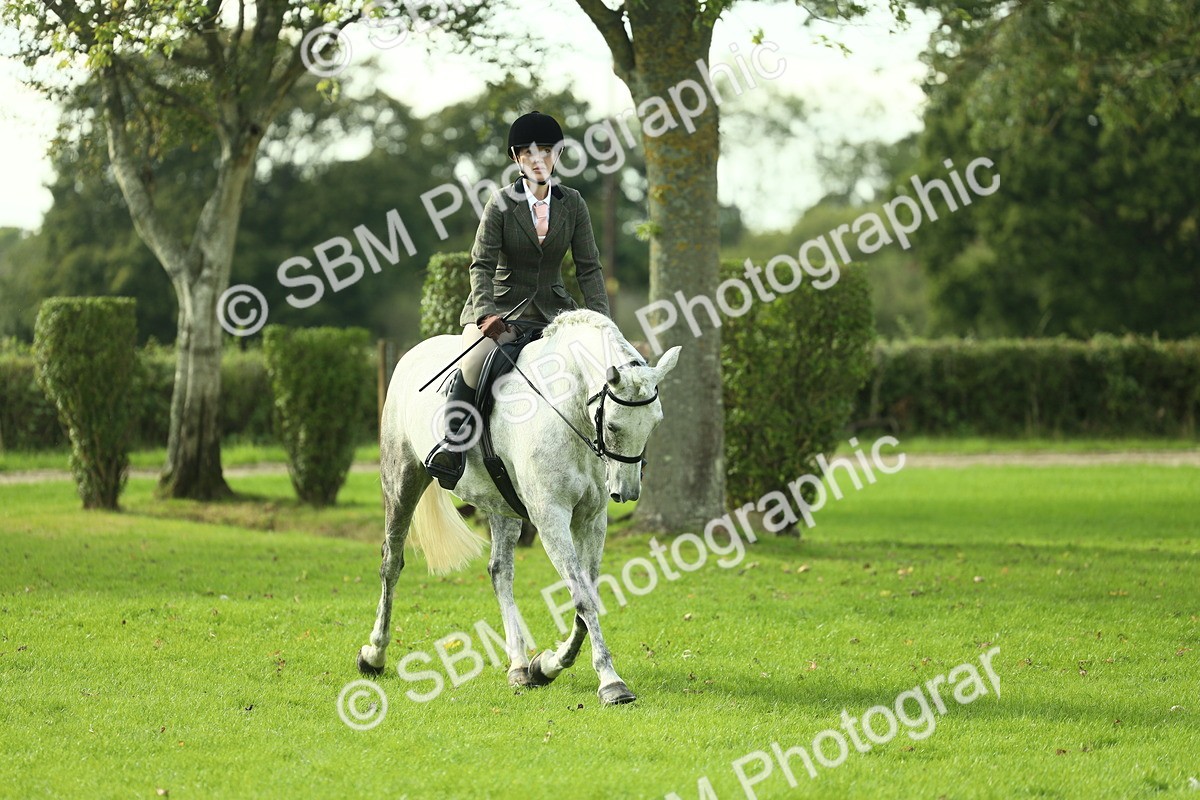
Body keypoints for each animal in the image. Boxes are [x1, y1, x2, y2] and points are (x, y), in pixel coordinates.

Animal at [356, 309, 681, 705]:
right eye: (615, 426)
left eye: (655, 423)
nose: (627, 492)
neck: (567, 409)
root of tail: (412, 353)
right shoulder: (550, 516)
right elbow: (582, 598)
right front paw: (610, 682)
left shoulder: (591, 519)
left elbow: (587, 594)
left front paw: (547, 666)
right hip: (402, 478)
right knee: (392, 563)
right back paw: (374, 655)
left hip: (499, 501)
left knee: (500, 571)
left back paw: (519, 666)